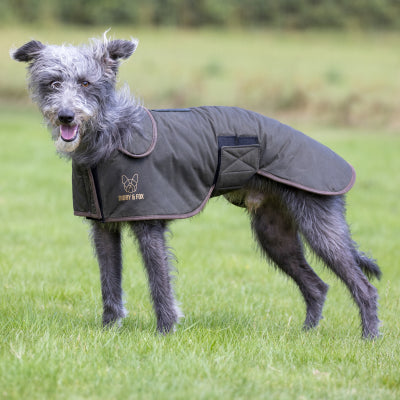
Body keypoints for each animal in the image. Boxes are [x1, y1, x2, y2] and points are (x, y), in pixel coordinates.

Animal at [11, 36, 382, 340]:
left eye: (86, 82)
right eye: (52, 82)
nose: (66, 116)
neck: (111, 136)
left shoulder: (149, 227)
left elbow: (159, 283)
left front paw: (164, 332)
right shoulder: (103, 228)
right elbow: (109, 283)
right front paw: (109, 330)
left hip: (321, 231)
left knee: (363, 286)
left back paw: (370, 336)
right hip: (275, 236)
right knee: (317, 286)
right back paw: (306, 334)